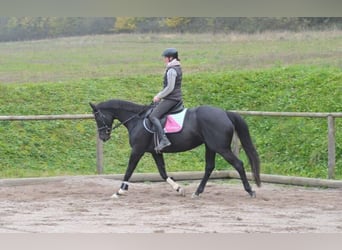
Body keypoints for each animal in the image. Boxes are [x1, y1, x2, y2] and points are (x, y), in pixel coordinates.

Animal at [89, 99, 260, 199]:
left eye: (97, 117)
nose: (103, 137)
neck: (137, 120)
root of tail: (225, 113)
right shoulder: (155, 151)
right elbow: (162, 172)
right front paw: (179, 188)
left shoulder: (137, 150)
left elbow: (129, 170)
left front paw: (119, 191)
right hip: (210, 146)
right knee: (209, 167)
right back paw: (197, 192)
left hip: (221, 148)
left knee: (238, 164)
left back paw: (250, 191)